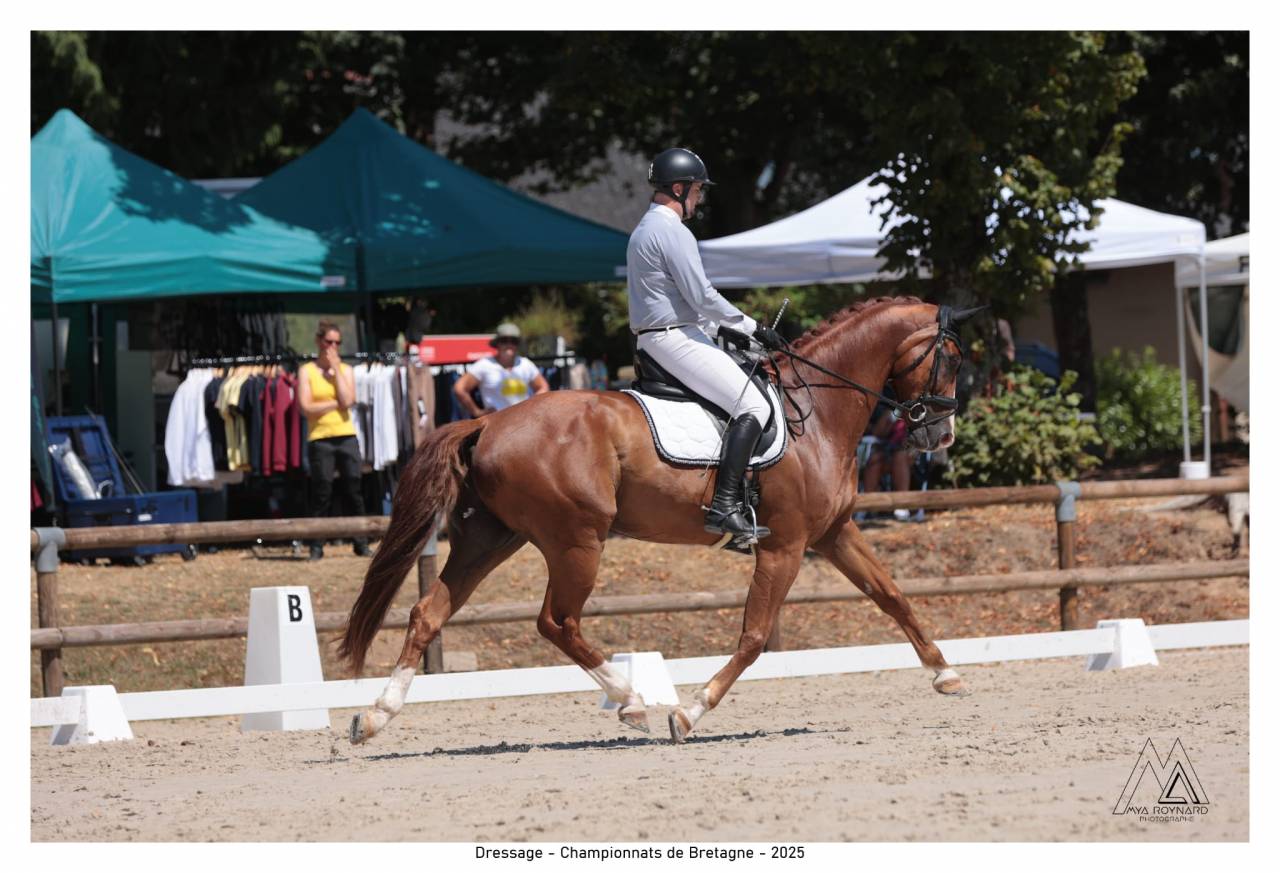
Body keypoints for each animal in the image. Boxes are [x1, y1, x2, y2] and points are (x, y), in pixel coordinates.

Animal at [339, 296, 975, 745]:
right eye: (952, 358)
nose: (940, 436)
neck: (814, 414)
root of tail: (487, 422)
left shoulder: (833, 533)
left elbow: (892, 595)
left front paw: (944, 674)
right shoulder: (786, 545)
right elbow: (753, 636)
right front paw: (690, 713)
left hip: (492, 537)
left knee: (429, 613)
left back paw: (374, 717)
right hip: (577, 541)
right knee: (556, 621)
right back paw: (632, 700)